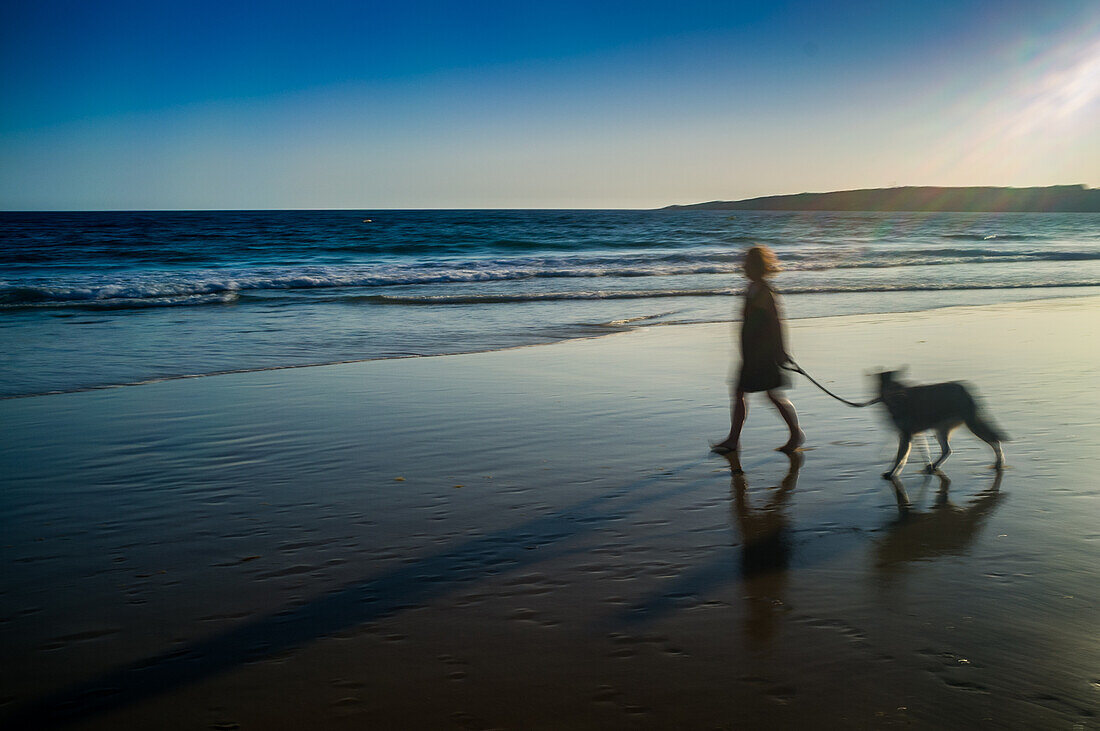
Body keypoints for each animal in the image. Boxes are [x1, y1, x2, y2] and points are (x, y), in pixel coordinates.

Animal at [875, 367, 1007, 477]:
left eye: (897, 385)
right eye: (892, 386)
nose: (897, 394)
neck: (896, 401)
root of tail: (965, 389)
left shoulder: (906, 434)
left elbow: (900, 457)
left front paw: (892, 471)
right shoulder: (911, 434)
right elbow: (911, 454)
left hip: (970, 425)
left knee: (994, 441)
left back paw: (999, 462)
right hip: (941, 429)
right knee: (947, 450)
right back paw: (934, 466)